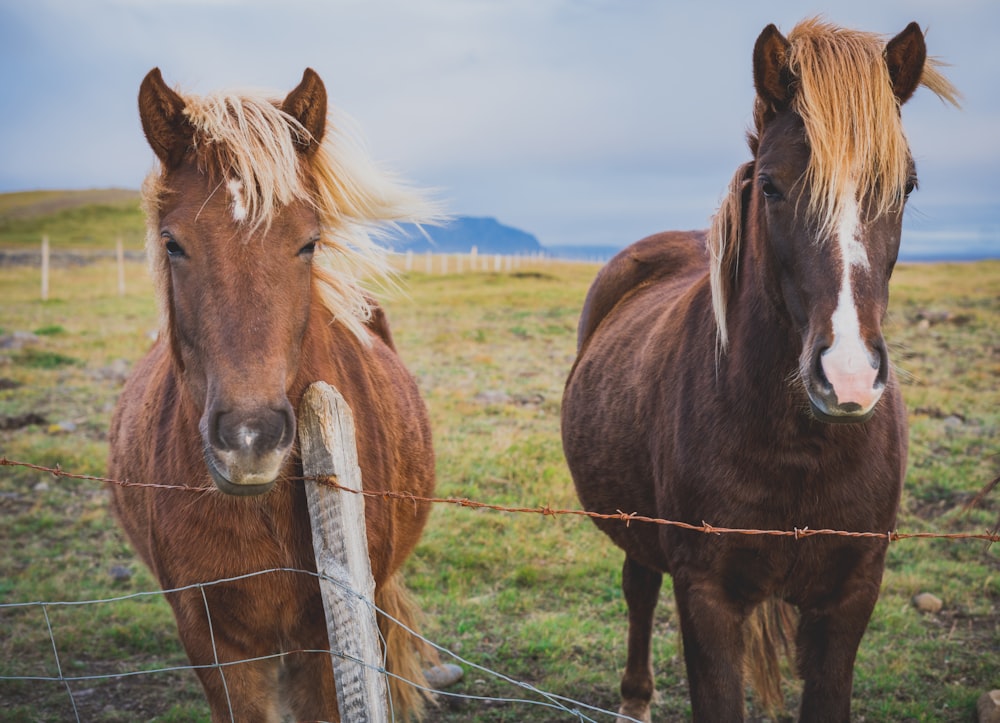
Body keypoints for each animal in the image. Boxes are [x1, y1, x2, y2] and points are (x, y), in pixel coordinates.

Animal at [564, 19, 960, 720]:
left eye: (906, 186)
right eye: (771, 186)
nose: (848, 376)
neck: (798, 448)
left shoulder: (851, 596)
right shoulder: (706, 598)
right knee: (639, 588)